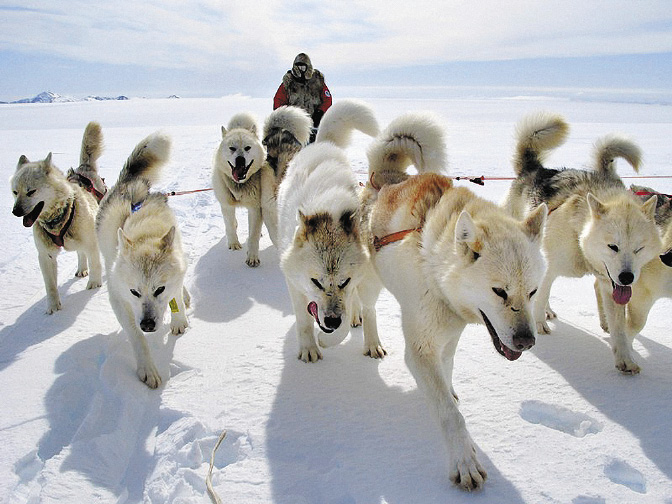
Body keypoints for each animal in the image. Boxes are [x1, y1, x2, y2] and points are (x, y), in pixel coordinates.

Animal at [10, 121, 103, 312]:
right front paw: (53, 307)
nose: (15, 211)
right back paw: (81, 269)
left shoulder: (91, 242)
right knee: (80, 253)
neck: (57, 218)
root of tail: (84, 169)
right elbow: (50, 285)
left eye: (31, 191)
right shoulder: (45, 255)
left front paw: (94, 285)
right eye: (15, 192)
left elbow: (95, 264)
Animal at [96, 132, 189, 388]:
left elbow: (176, 295)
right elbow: (136, 337)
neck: (144, 233)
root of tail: (130, 184)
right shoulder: (119, 298)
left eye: (159, 289)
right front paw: (147, 369)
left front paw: (179, 319)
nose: (147, 325)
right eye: (134, 292)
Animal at [276, 98, 384, 360]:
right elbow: (304, 321)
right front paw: (309, 349)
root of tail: (323, 144)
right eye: (316, 282)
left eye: (343, 282)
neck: (327, 209)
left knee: (367, 308)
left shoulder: (352, 285)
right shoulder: (295, 283)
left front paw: (328, 339)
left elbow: (350, 312)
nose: (332, 321)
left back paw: (369, 338)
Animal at [360, 112, 548, 490]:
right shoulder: (421, 349)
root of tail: (385, 177)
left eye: (532, 292)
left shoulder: (449, 336)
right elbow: (450, 415)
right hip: (371, 281)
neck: (433, 262)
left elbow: (447, 380)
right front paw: (465, 461)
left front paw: (451, 392)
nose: (527, 341)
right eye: (500, 291)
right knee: (367, 308)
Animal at [506, 114, 660, 374]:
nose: (627, 277)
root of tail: (536, 169)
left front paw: (625, 359)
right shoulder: (550, 266)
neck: (578, 235)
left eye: (639, 249)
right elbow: (540, 295)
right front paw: (538, 323)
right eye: (613, 246)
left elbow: (620, 329)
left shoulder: (612, 286)